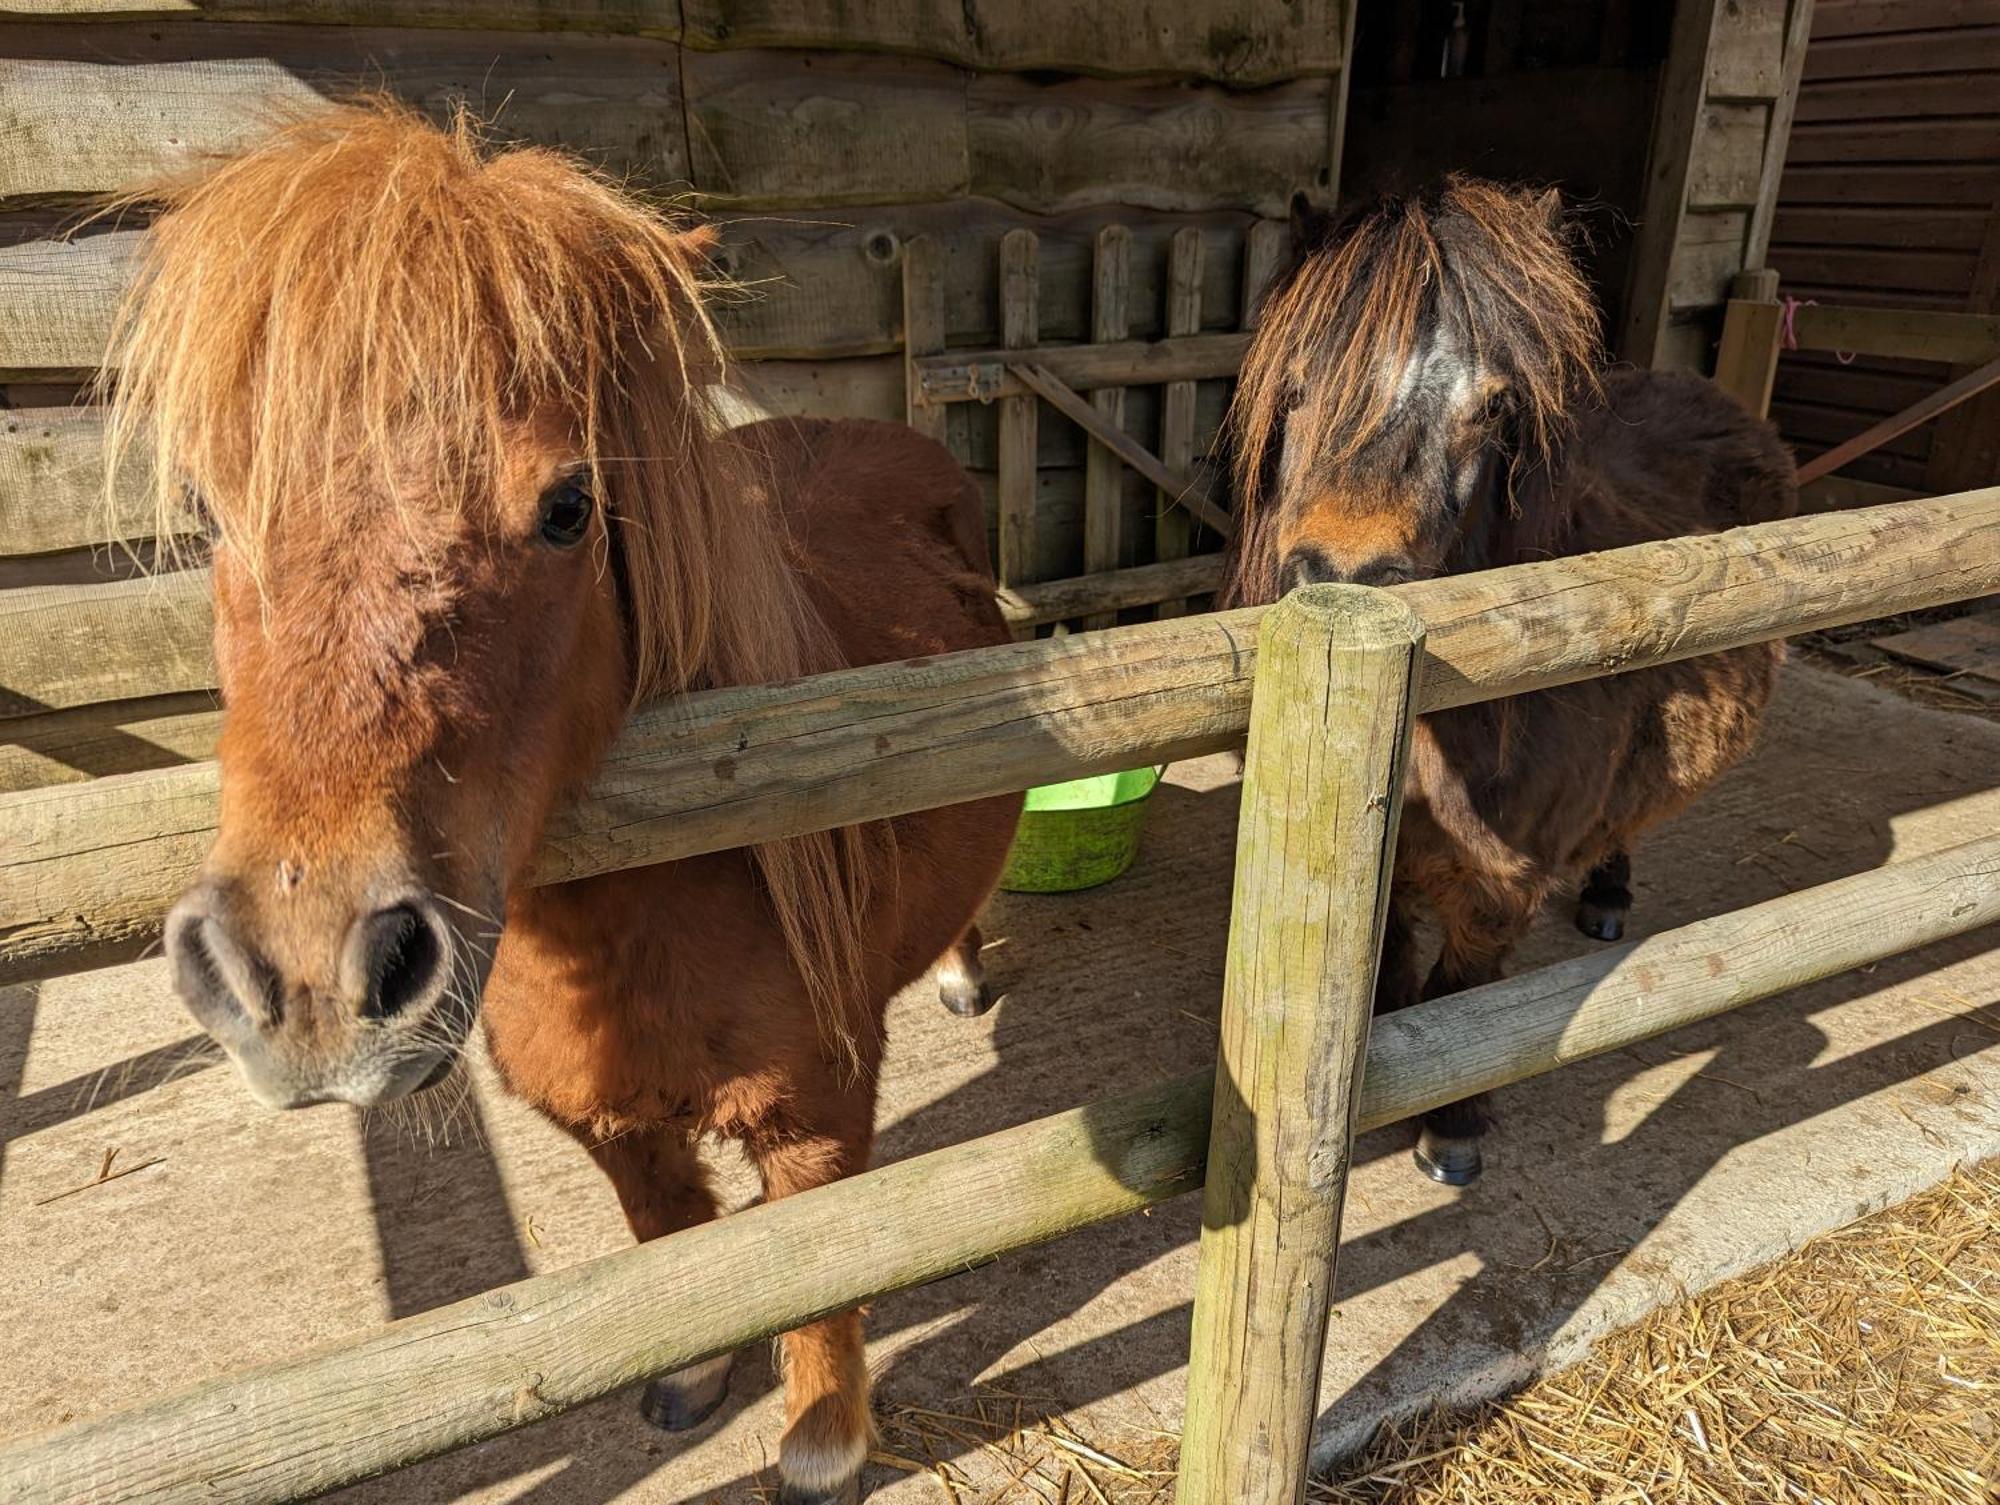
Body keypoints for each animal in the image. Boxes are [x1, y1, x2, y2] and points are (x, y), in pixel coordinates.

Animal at [107, 108, 1016, 1505]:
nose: (307, 977)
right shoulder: (605, 1118)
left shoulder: (816, 1112)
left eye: (567, 507)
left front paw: (821, 1439)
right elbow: (676, 1239)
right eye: (210, 507)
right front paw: (690, 1373)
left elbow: (818, 1279)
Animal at [1224, 179, 1808, 1184]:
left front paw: (1450, 1125)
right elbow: (1384, 972)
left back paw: (1608, 896)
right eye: (1295, 385)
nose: (1343, 574)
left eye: (1495, 406)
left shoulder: (1502, 882)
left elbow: (1466, 990)